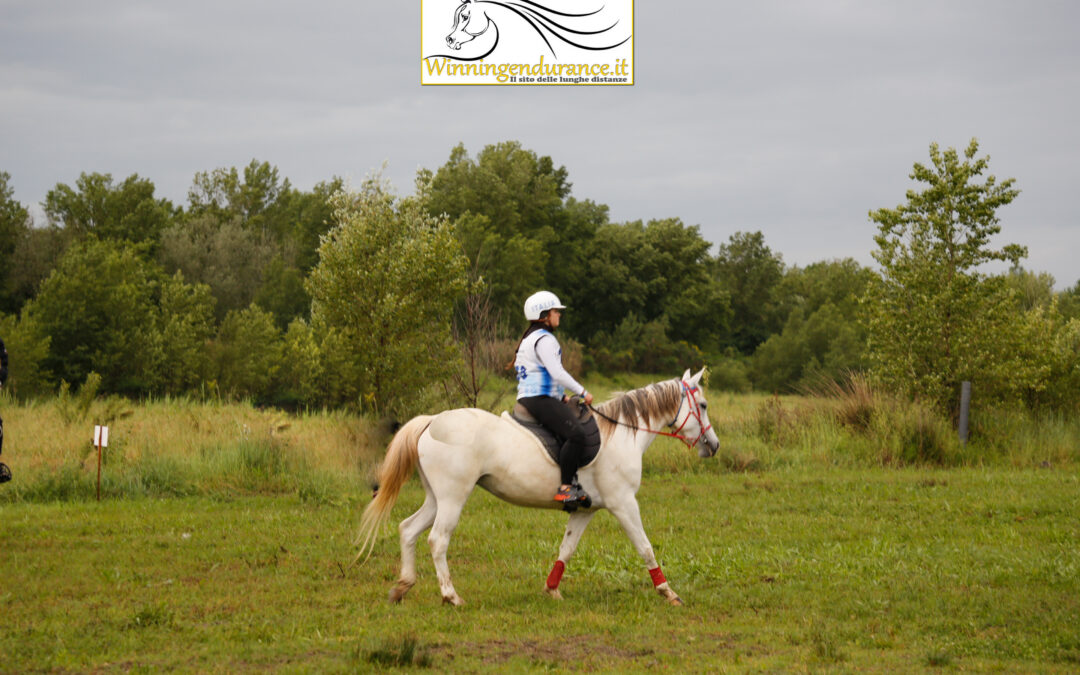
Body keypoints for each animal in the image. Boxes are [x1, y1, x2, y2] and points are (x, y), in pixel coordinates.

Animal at [358, 369, 721, 604]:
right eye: (703, 406)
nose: (714, 446)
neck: (622, 433)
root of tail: (432, 420)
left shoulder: (586, 510)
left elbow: (567, 548)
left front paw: (551, 589)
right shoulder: (623, 504)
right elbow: (645, 547)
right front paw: (668, 592)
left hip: (435, 498)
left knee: (408, 529)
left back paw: (402, 587)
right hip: (452, 497)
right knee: (437, 539)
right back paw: (450, 596)